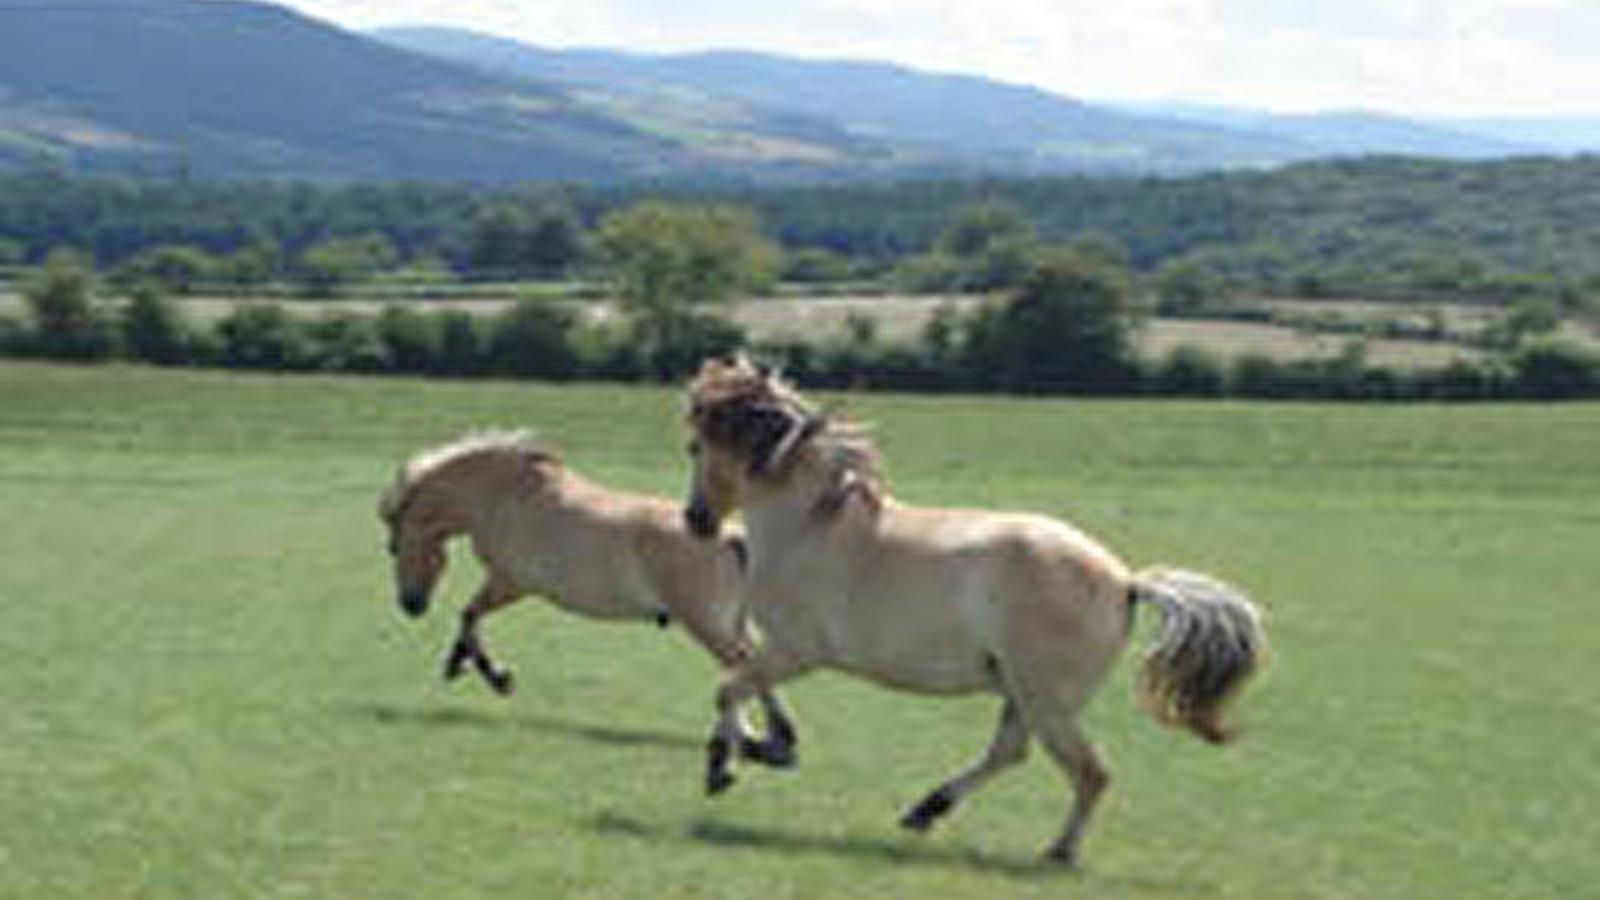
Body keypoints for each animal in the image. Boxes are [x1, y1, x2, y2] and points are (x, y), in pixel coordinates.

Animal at [377, 429, 796, 764]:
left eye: (393, 547)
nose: (410, 605)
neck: (501, 494)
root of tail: (733, 536)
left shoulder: (512, 583)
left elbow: (468, 615)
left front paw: (494, 676)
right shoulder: (507, 583)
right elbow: (469, 617)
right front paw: (461, 664)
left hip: (706, 626)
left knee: (745, 668)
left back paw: (772, 743)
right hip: (729, 625)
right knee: (748, 669)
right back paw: (760, 740)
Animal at [679, 358, 1267, 867]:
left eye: (695, 445)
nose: (695, 520)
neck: (808, 525)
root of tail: (1126, 582)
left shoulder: (797, 650)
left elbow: (728, 688)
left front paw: (722, 766)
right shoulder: (775, 647)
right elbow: (739, 683)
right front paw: (766, 747)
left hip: (1045, 699)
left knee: (1090, 772)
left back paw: (1057, 852)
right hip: (1021, 693)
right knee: (1011, 754)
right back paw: (925, 810)